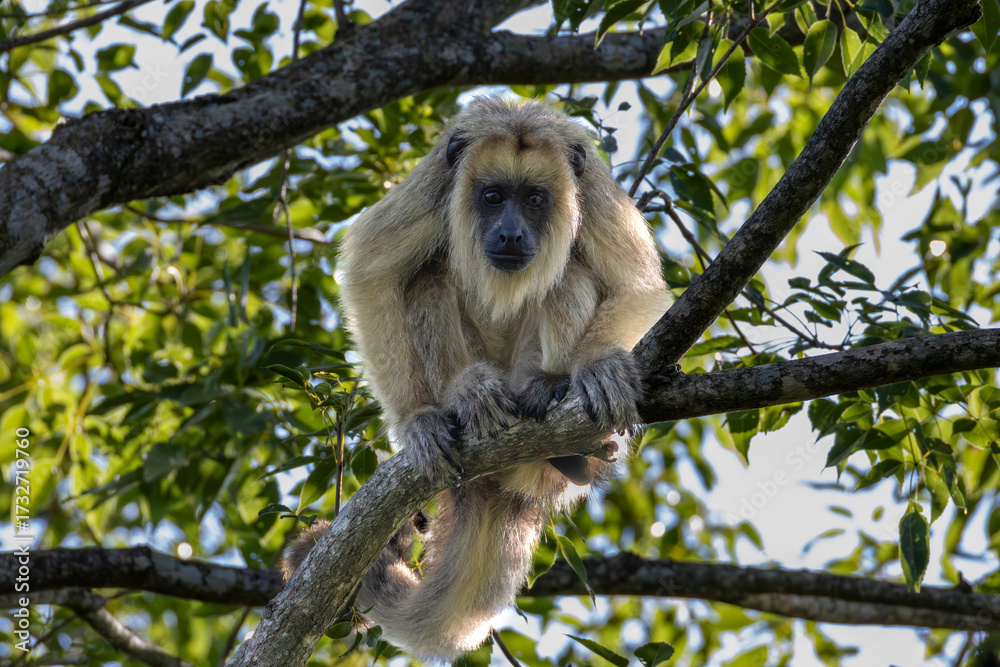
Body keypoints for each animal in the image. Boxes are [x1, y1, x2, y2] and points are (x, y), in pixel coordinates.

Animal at [281, 97, 672, 661]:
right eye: (492, 197)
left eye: (534, 199)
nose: (509, 233)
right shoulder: (435, 182)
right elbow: (371, 275)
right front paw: (418, 420)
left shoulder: (594, 190)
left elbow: (636, 286)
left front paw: (597, 365)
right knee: (428, 280)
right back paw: (469, 397)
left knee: (570, 275)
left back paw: (561, 417)